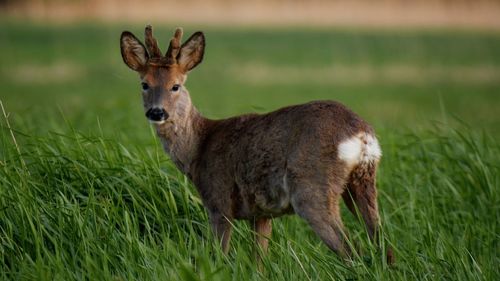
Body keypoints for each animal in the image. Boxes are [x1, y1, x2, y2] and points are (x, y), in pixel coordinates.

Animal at [119, 25, 392, 264]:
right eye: (144, 84)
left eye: (176, 85)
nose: (157, 112)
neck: (198, 147)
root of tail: (361, 133)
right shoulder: (260, 214)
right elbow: (258, 261)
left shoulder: (218, 200)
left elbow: (219, 254)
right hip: (362, 181)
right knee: (383, 245)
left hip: (312, 187)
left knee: (352, 252)